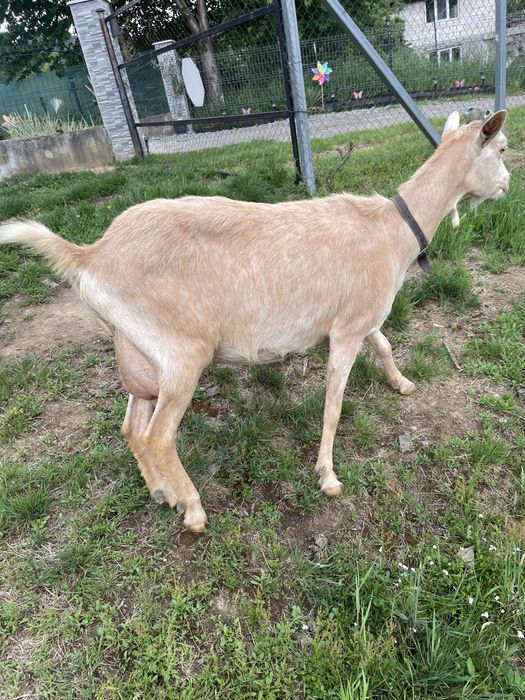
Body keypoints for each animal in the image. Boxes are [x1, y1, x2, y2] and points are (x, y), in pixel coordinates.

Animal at [0, 111, 509, 532]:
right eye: (502, 148)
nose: (507, 185)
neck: (392, 229)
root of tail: (90, 255)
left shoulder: (358, 317)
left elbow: (382, 343)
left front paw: (402, 384)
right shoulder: (345, 330)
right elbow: (333, 405)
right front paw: (328, 477)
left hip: (140, 351)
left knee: (132, 426)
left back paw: (160, 491)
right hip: (182, 351)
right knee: (159, 434)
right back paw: (193, 509)